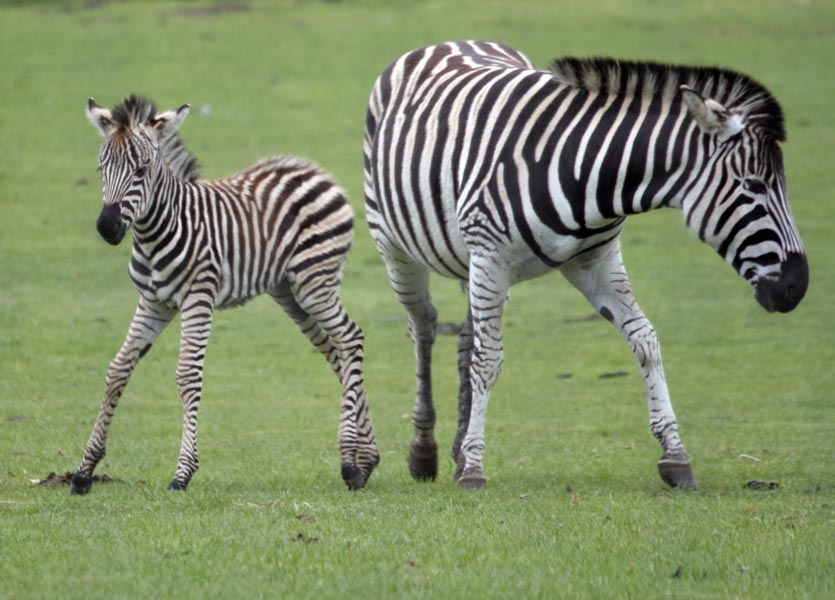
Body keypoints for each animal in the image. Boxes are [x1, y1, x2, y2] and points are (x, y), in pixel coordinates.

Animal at [72, 95, 379, 494]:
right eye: (101, 169)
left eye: (141, 170)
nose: (107, 228)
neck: (159, 231)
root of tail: (314, 171)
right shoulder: (153, 303)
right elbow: (118, 370)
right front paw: (84, 470)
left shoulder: (197, 298)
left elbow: (188, 375)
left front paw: (182, 473)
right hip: (291, 293)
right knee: (337, 353)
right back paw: (367, 459)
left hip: (315, 282)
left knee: (351, 338)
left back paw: (350, 464)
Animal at [363, 41, 808, 490]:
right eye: (754, 186)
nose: (797, 286)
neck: (588, 172)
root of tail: (449, 42)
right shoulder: (490, 257)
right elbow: (488, 359)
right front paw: (474, 469)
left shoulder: (596, 261)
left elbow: (645, 340)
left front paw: (675, 456)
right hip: (397, 248)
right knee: (423, 327)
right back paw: (424, 452)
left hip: (474, 267)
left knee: (464, 338)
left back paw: (454, 449)